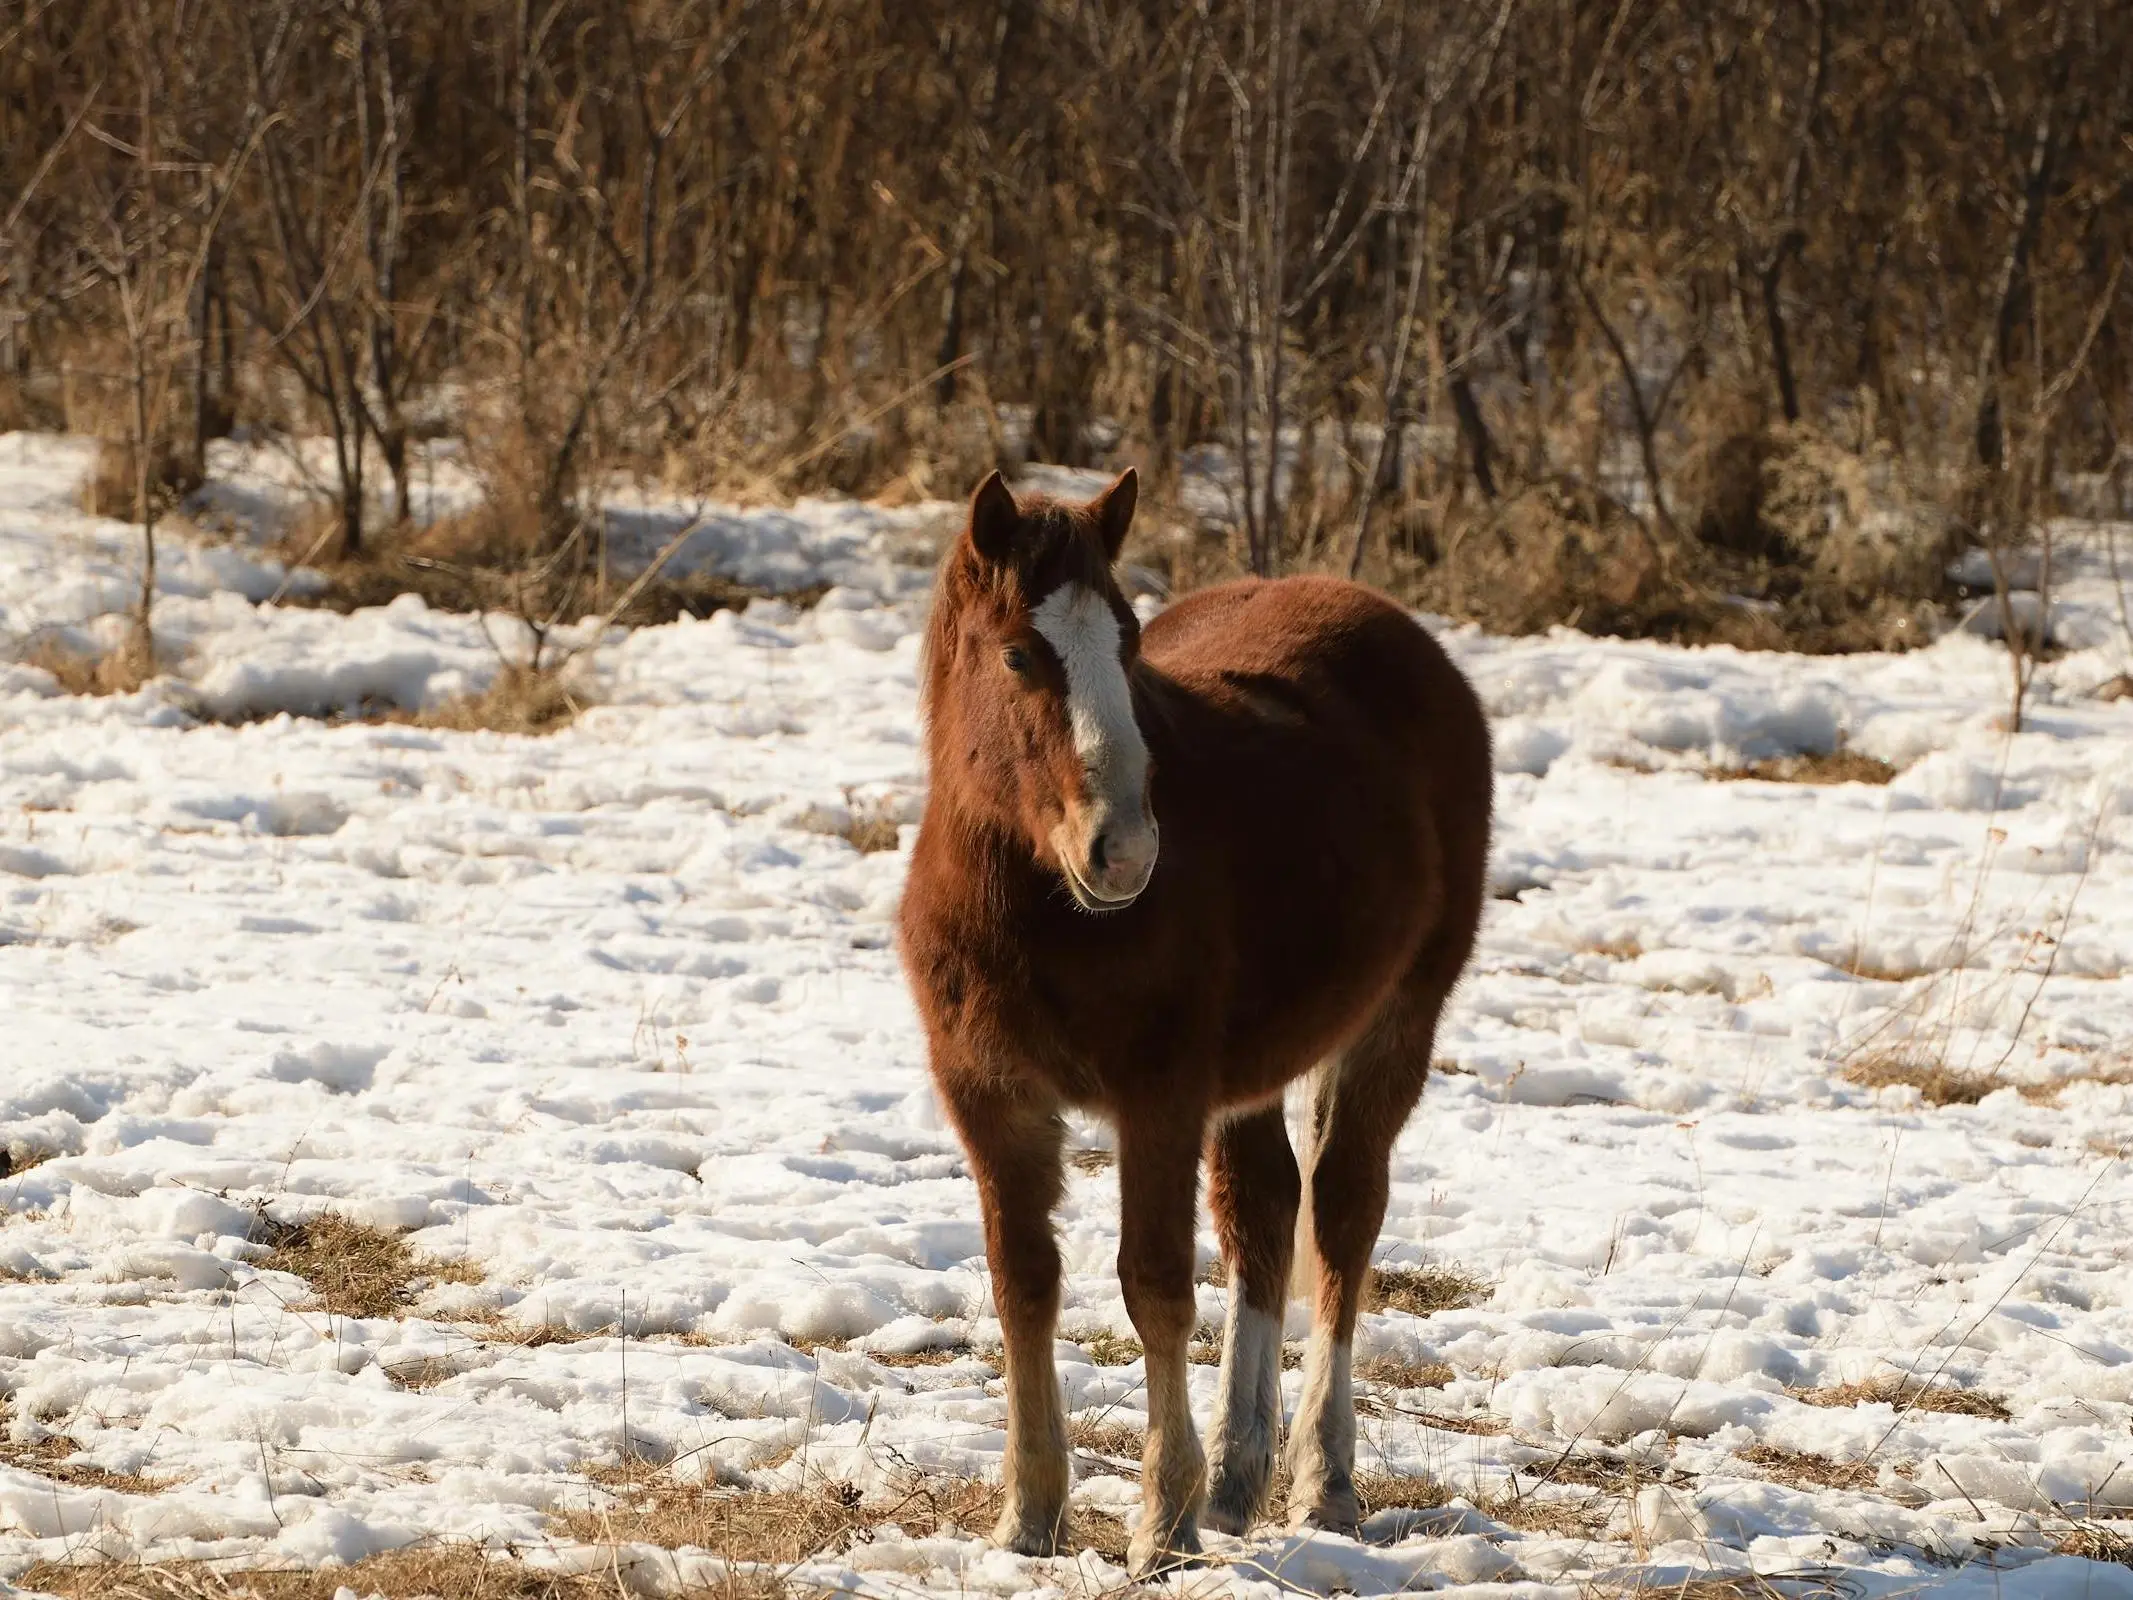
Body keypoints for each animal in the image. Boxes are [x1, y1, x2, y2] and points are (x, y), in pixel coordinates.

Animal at [891, 469, 1493, 1570]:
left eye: (1128, 642)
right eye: (1017, 652)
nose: (1124, 849)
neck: (1037, 909)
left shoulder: (1159, 1097)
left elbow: (1155, 1285)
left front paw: (1160, 1523)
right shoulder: (991, 1100)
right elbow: (1022, 1283)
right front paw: (1029, 1514)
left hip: (1396, 1019)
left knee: (1341, 1214)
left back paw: (1320, 1480)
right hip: (1253, 1066)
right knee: (1262, 1209)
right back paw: (1237, 1476)